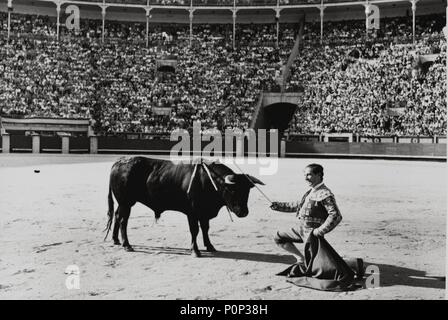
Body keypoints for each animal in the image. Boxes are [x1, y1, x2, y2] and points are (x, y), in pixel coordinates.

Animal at [104, 156, 266, 256]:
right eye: (232, 190)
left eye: (247, 191)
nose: (243, 212)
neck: (208, 180)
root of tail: (119, 162)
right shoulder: (192, 212)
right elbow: (195, 230)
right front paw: (195, 250)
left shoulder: (204, 213)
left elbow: (205, 229)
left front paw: (210, 246)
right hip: (126, 202)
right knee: (123, 220)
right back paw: (127, 245)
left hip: (123, 203)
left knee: (117, 216)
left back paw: (116, 240)